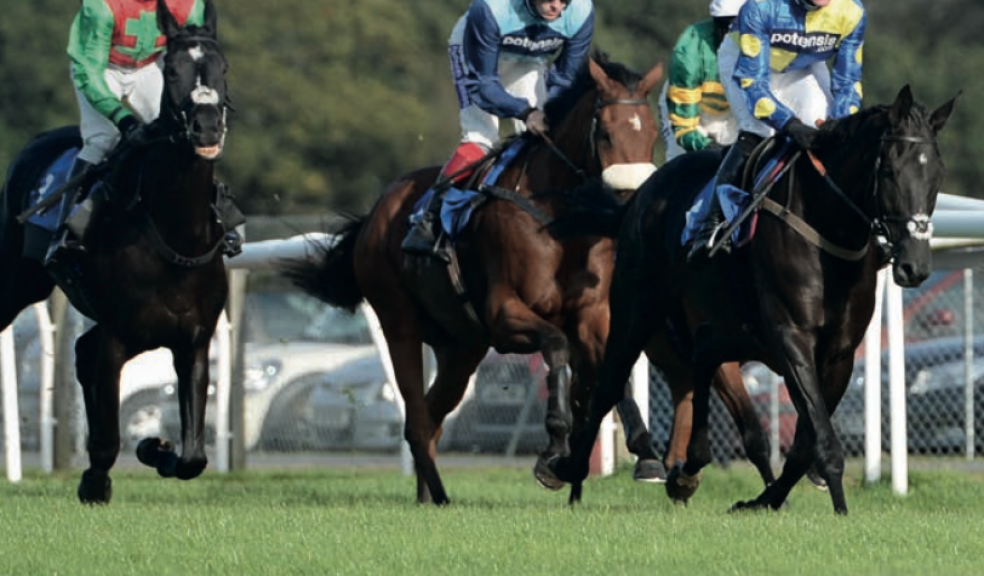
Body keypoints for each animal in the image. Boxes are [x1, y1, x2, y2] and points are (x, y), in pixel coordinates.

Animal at [0, 0, 232, 503]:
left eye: (222, 67)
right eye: (172, 69)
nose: (206, 127)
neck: (174, 237)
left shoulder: (193, 341)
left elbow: (194, 457)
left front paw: (155, 447)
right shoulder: (117, 337)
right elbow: (107, 434)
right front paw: (96, 482)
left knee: (81, 352)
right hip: (17, 281)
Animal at [546, 85, 958, 514]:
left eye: (937, 174)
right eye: (890, 171)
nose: (915, 266)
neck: (827, 232)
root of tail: (642, 193)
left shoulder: (840, 353)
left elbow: (807, 439)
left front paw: (765, 499)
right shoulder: (790, 336)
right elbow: (818, 432)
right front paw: (840, 507)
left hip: (729, 328)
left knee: (704, 354)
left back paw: (687, 469)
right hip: (636, 307)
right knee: (609, 383)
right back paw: (570, 469)